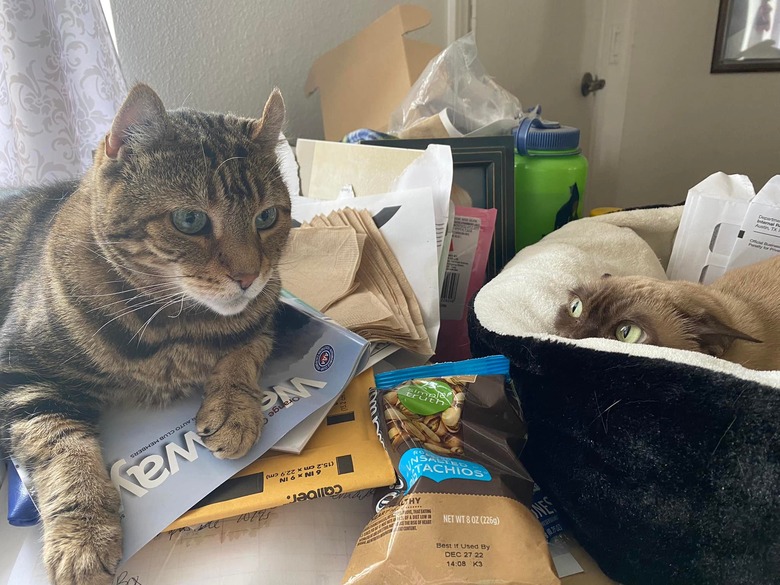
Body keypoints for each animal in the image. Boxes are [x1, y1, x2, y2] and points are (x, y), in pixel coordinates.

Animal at [0, 83, 296, 584]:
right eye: (190, 220)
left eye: (267, 217)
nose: (248, 276)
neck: (177, 326)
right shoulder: (18, 371)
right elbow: (63, 449)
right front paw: (83, 536)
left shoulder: (267, 311)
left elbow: (243, 353)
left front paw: (236, 408)